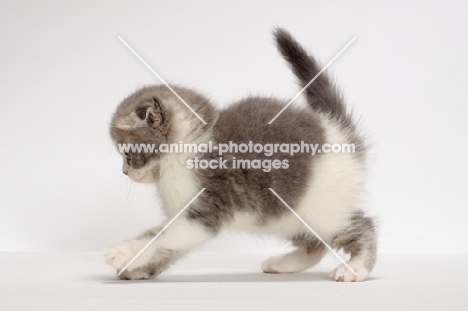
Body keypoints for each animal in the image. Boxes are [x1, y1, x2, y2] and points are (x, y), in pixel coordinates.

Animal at [106, 28, 376, 282]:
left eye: (127, 153)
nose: (125, 171)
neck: (187, 149)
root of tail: (338, 129)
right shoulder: (184, 216)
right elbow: (168, 244)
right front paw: (137, 269)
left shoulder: (204, 209)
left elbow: (160, 237)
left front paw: (124, 251)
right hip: (285, 215)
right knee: (315, 243)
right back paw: (283, 264)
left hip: (322, 208)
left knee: (364, 226)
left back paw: (354, 268)